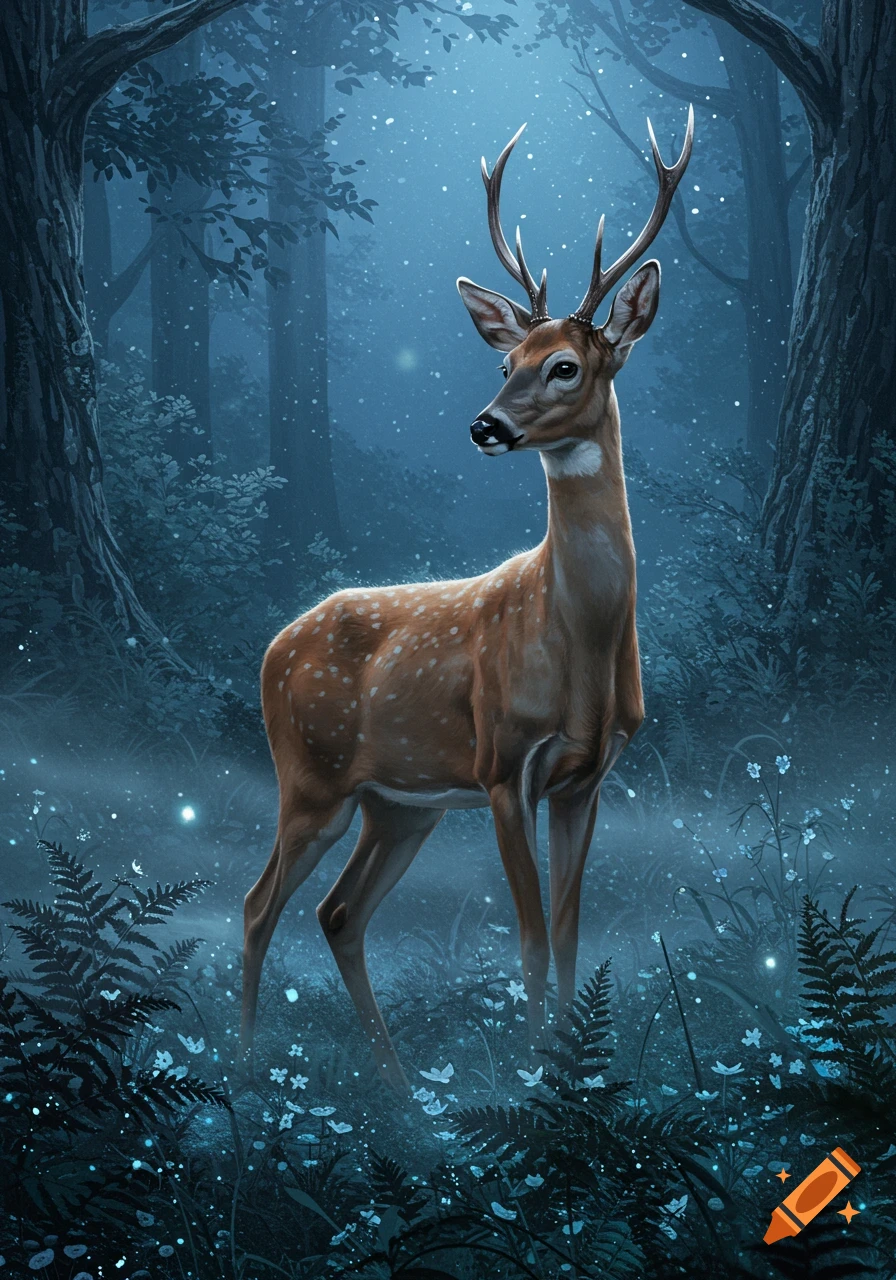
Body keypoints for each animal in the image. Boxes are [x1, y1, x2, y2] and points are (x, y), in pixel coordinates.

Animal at [241, 107, 694, 1092]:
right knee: (259, 904)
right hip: (311, 779)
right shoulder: (501, 762)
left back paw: (401, 1090)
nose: (486, 425)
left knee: (337, 913)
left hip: (397, 804)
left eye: (565, 366)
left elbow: (568, 936)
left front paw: (571, 1079)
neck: (584, 647)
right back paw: (244, 1068)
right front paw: (534, 1077)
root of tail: (271, 646)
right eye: (505, 360)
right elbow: (528, 940)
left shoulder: (588, 776)